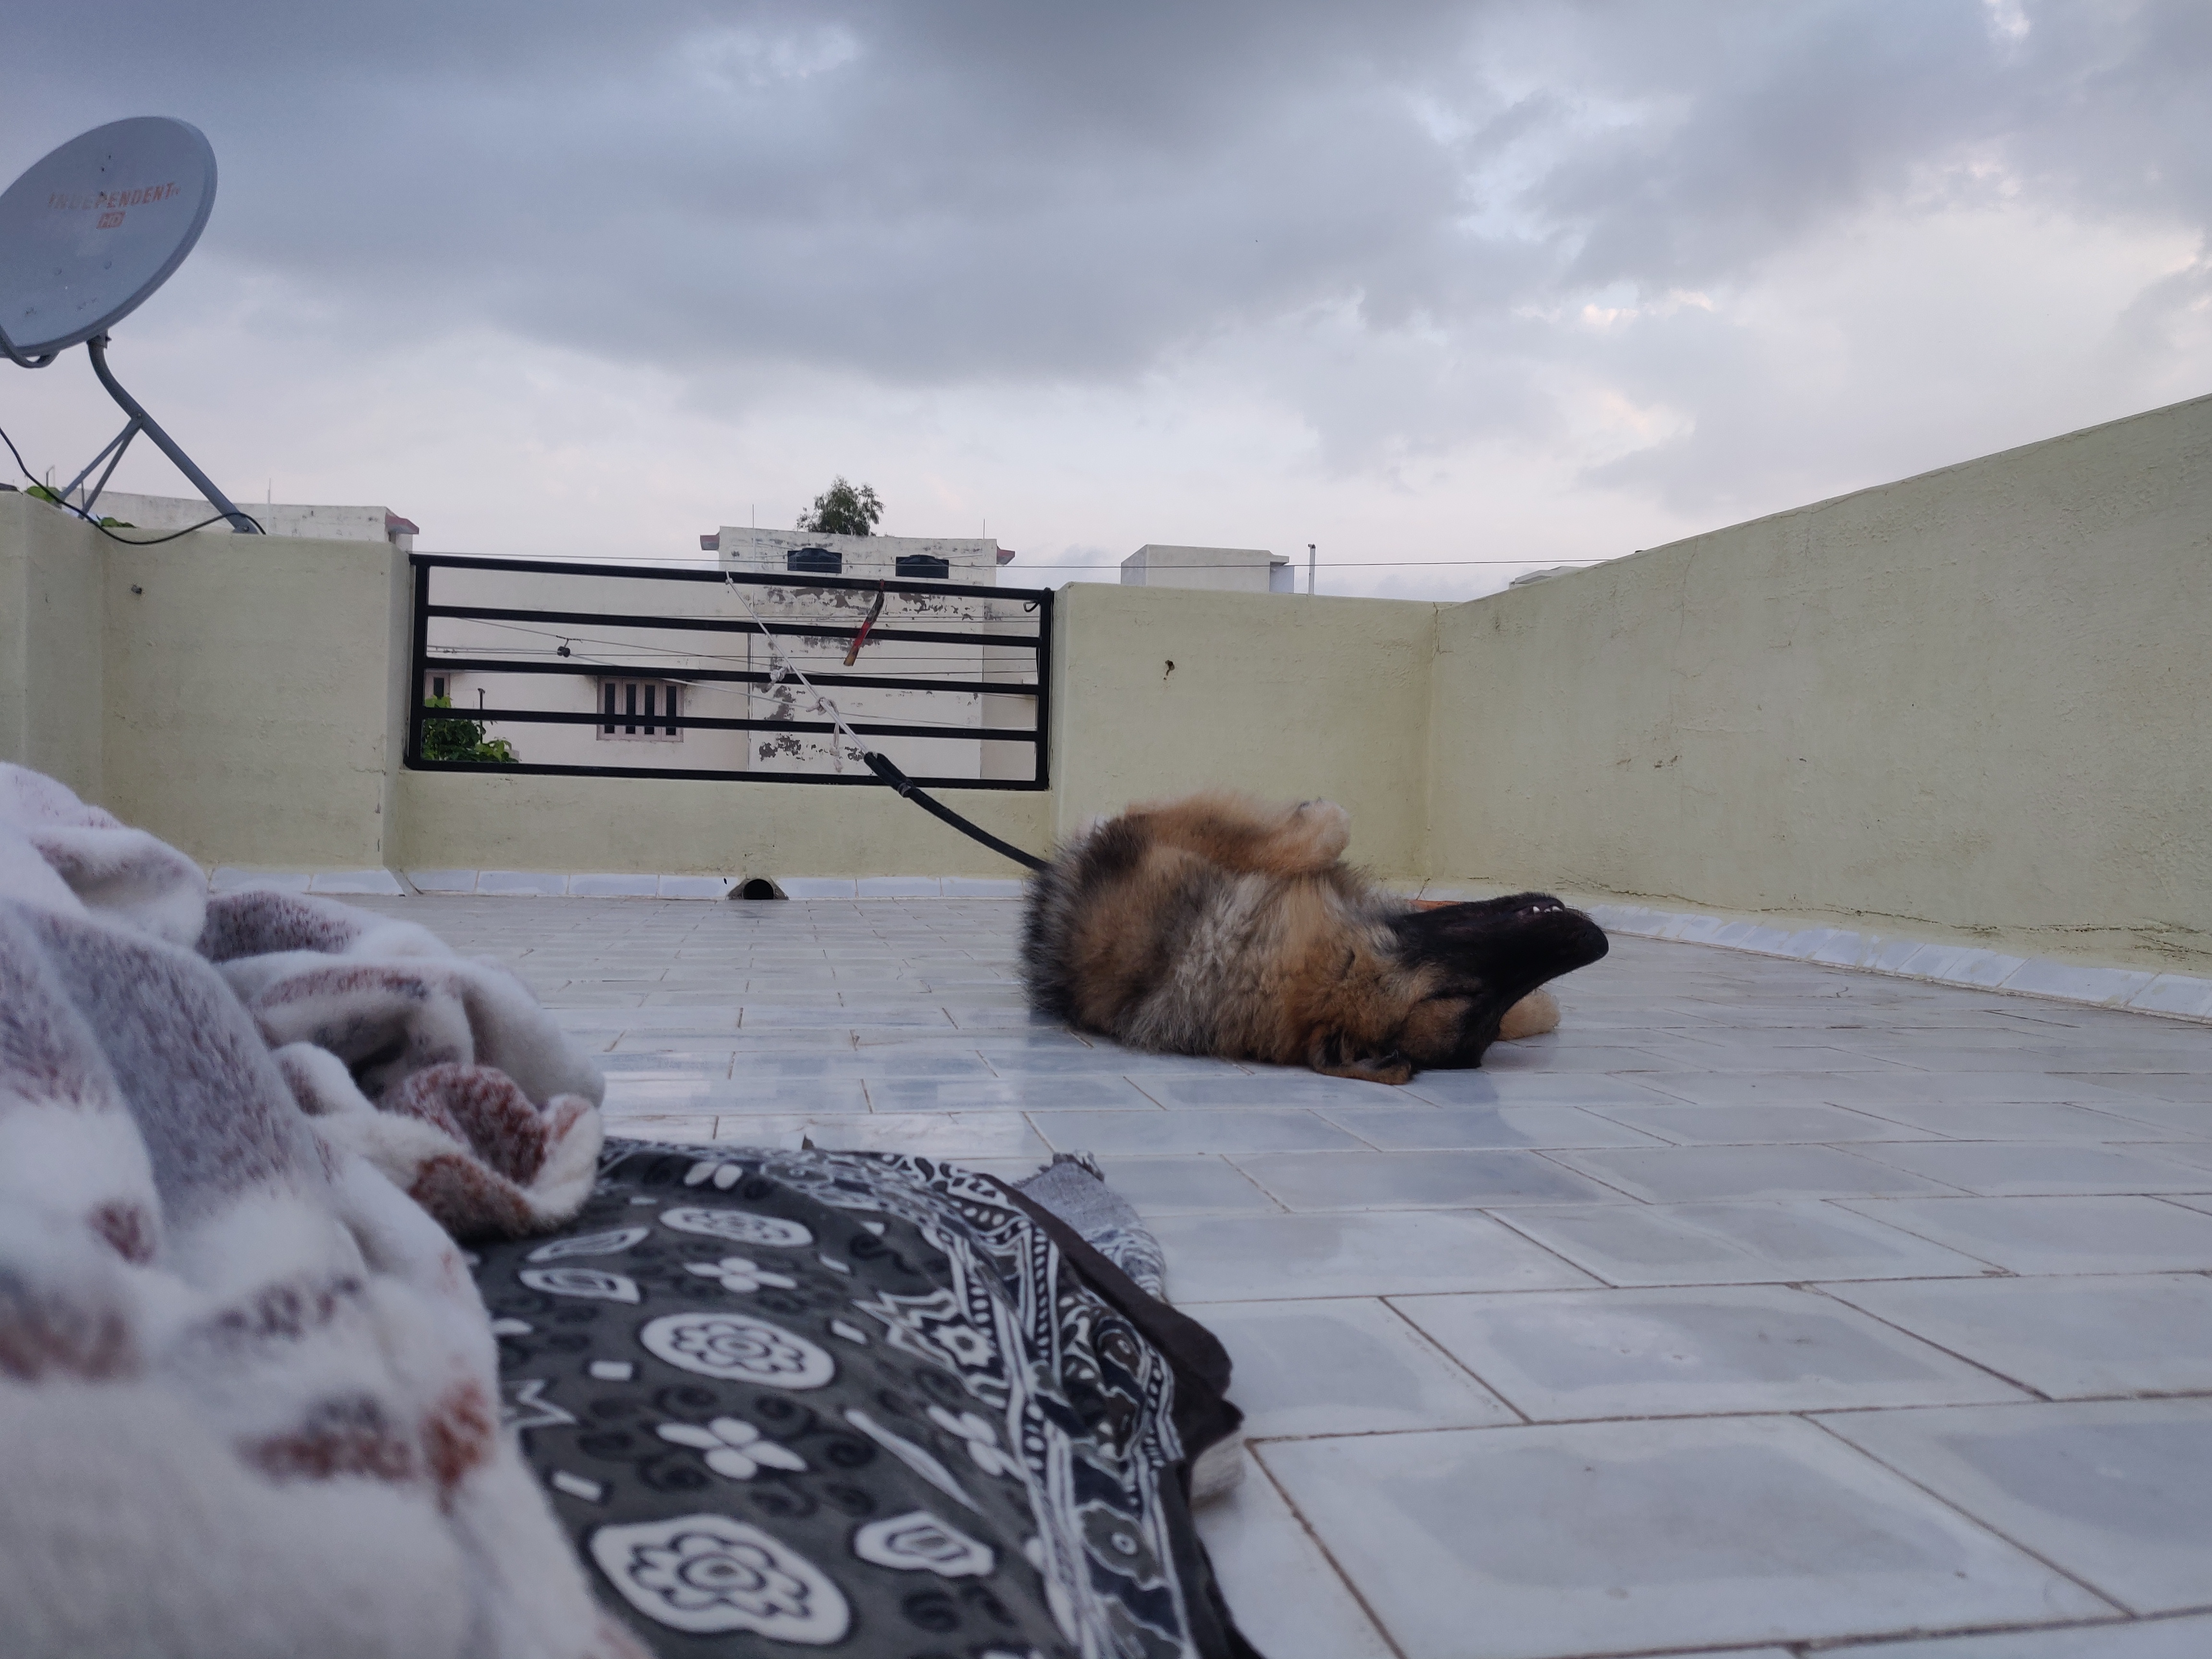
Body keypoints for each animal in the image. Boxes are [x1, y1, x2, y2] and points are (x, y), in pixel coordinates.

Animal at [1017, 796, 1610, 1093]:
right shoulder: (1154, 837)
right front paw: (1316, 815)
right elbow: (1318, 836)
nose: (1595, 943)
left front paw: (1539, 1008)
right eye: (1454, 996)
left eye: (1484, 1025)